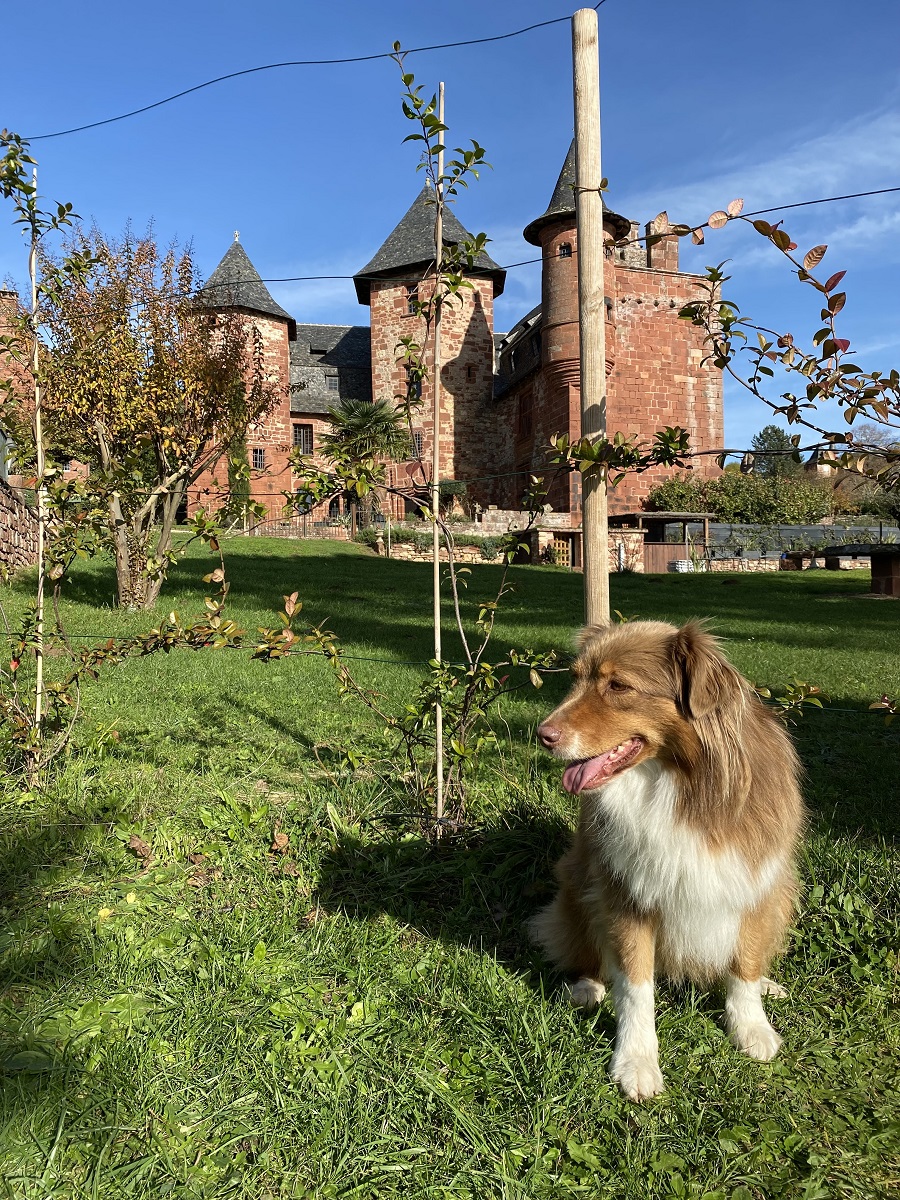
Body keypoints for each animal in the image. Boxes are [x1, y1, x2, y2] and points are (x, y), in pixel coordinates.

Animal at [528, 624, 801, 1099]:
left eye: (618, 686)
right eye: (575, 679)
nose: (543, 734)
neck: (680, 785)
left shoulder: (757, 883)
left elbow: (744, 964)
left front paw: (751, 1027)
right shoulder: (626, 894)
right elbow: (636, 987)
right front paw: (636, 1061)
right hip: (578, 881)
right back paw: (586, 987)